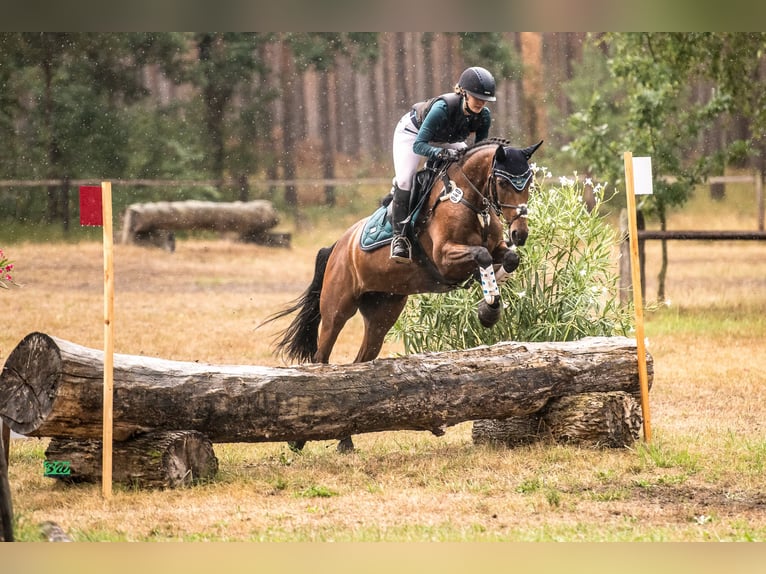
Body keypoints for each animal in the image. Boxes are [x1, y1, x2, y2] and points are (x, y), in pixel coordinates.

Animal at [260, 138, 544, 454]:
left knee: (359, 366)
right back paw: (299, 439)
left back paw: (346, 439)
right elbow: (481, 255)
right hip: (337, 309)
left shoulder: (496, 249)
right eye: (502, 182)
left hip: (382, 315)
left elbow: (508, 259)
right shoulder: (445, 257)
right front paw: (488, 310)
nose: (520, 233)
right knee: (321, 359)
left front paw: (490, 304)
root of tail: (338, 245)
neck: (468, 200)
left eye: (529, 181)